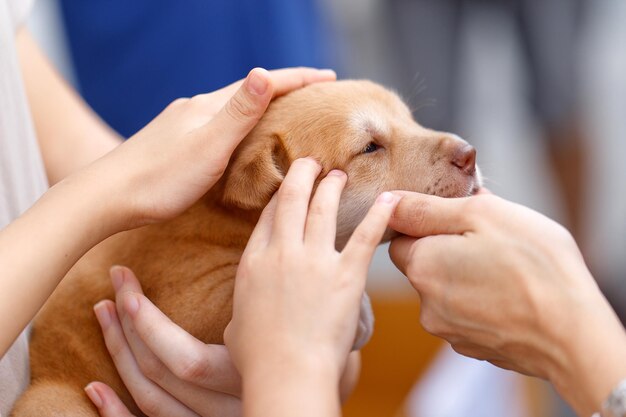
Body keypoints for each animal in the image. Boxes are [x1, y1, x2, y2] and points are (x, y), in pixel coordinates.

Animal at [11, 79, 478, 414]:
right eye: (369, 147)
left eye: (411, 120)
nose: (471, 154)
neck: (228, 216)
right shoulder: (189, 303)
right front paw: (356, 311)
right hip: (55, 401)